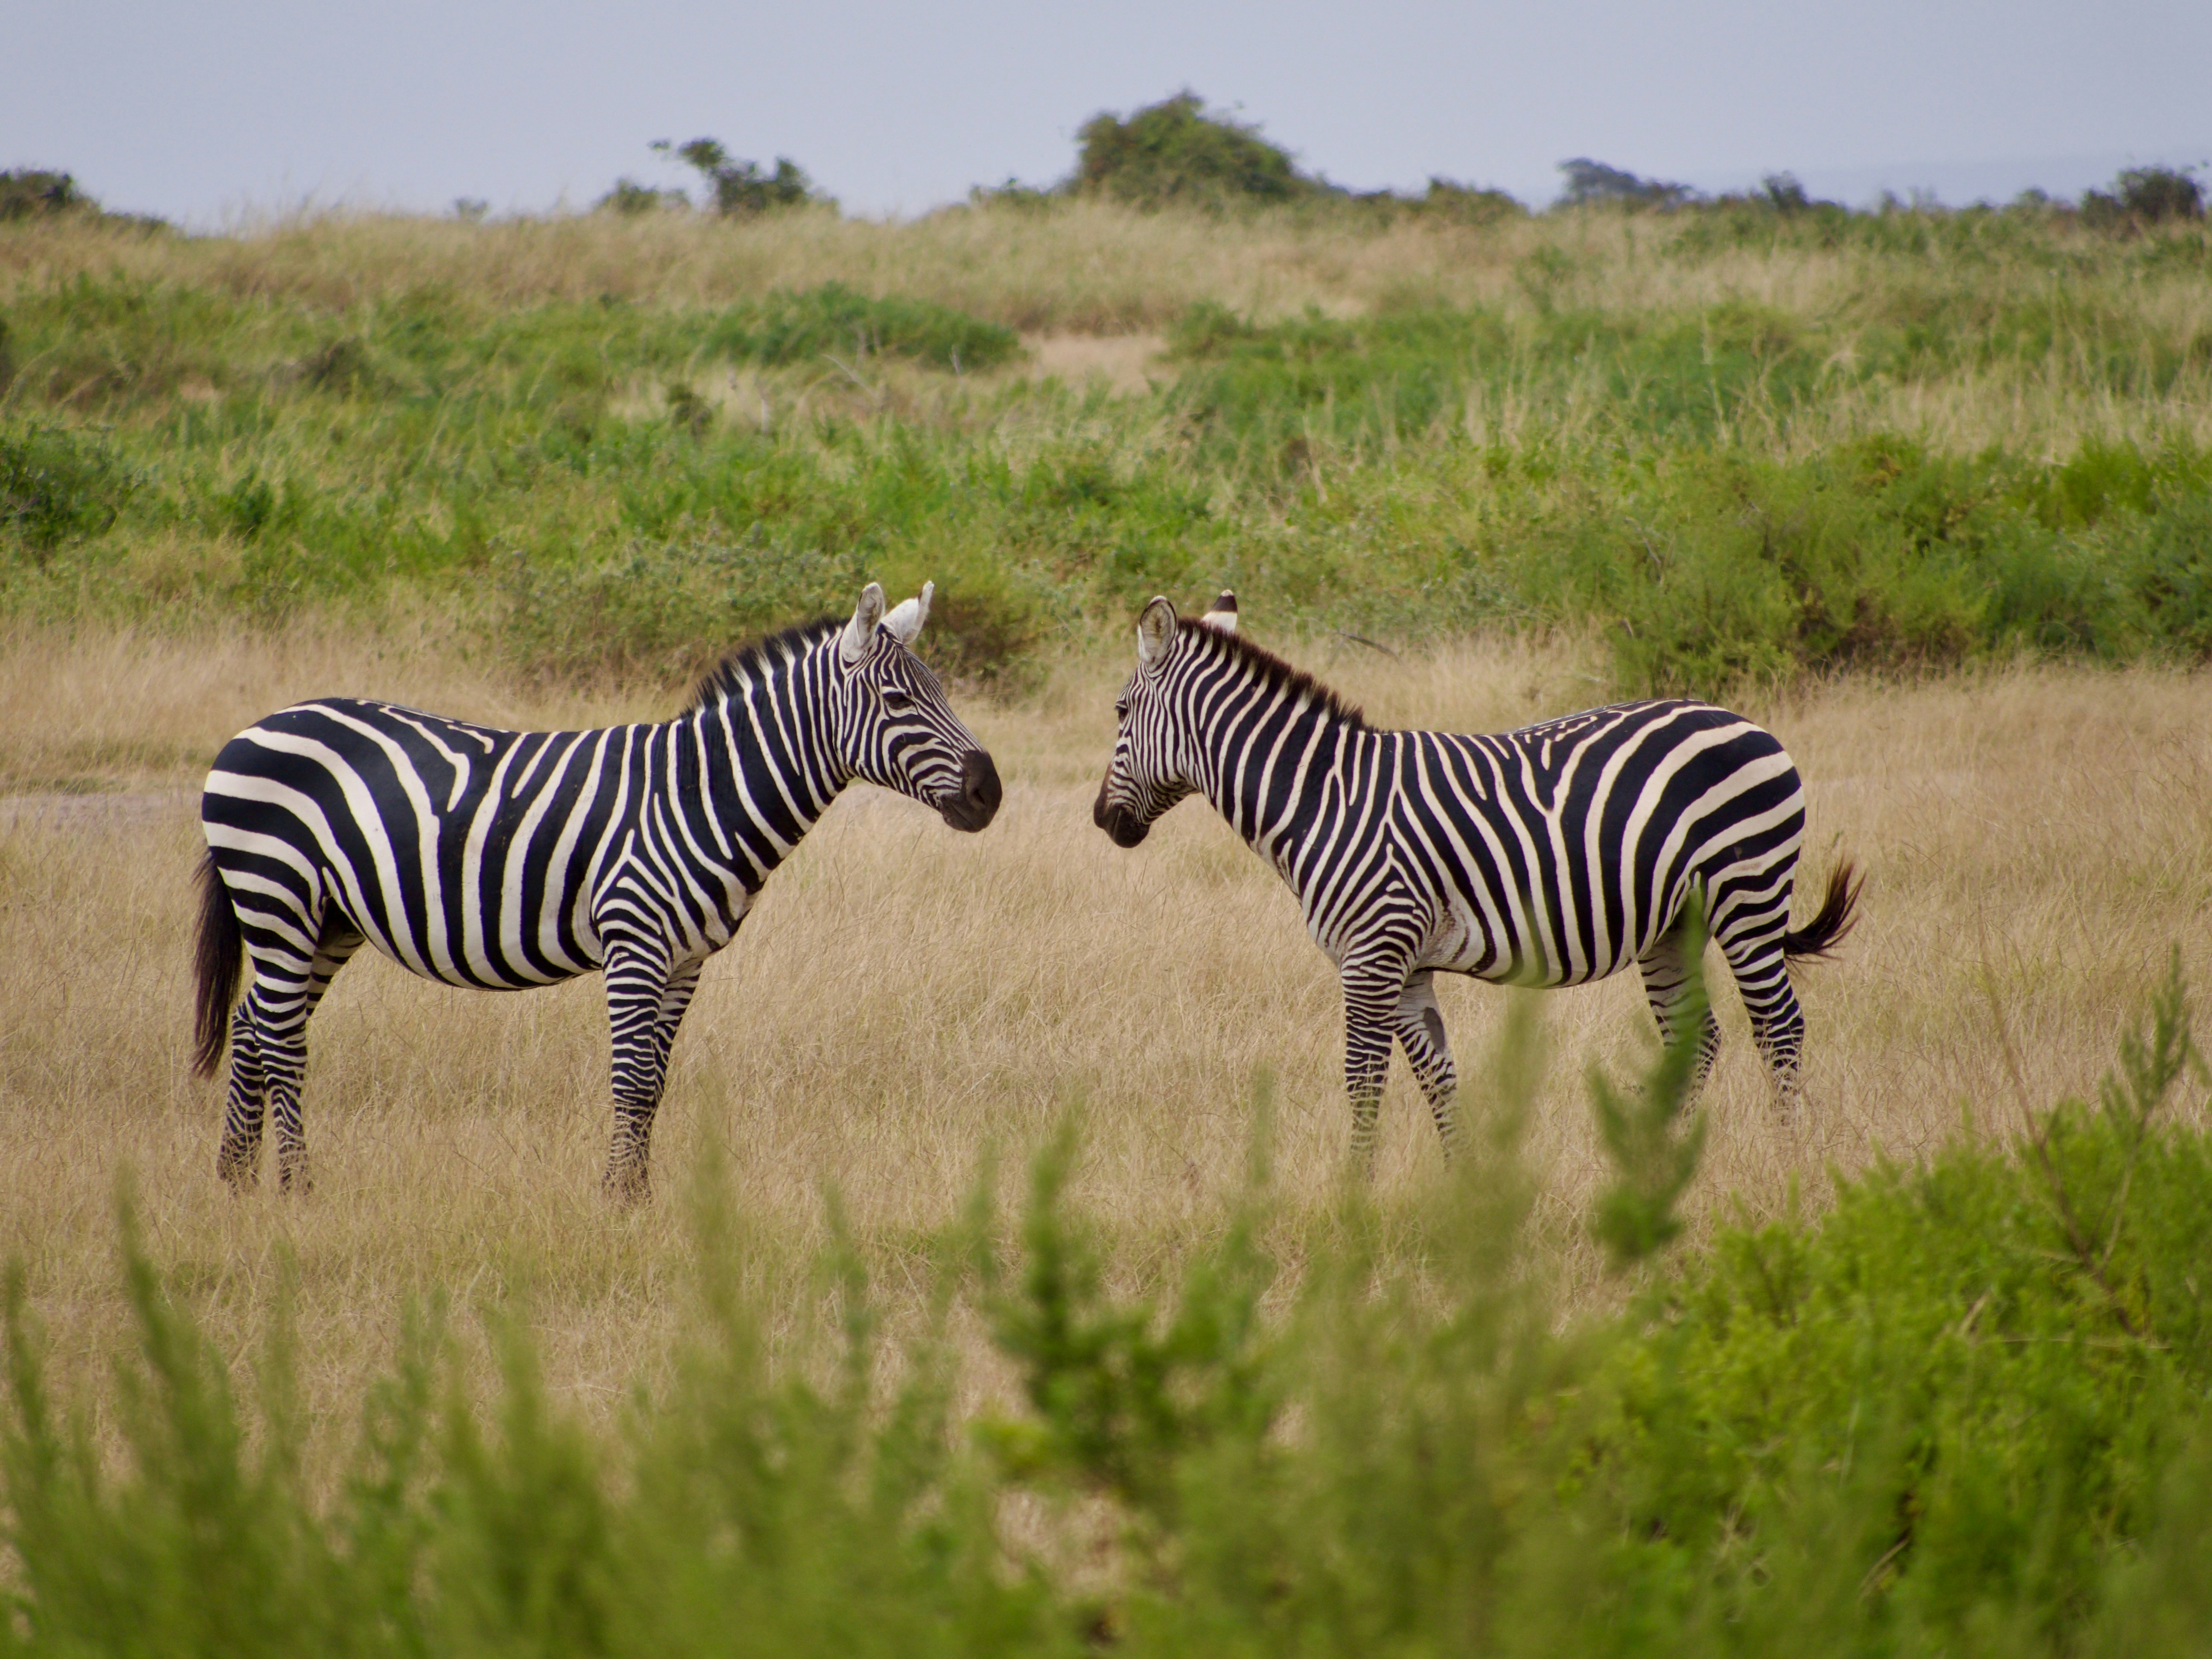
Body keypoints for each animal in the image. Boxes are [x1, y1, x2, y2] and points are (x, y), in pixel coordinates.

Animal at [192, 582, 1001, 1200]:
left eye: (940, 692)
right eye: (897, 700)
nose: (988, 792)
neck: (699, 792)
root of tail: (255, 726)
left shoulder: (685, 959)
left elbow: (657, 1082)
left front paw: (636, 1193)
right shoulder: (634, 941)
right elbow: (632, 1077)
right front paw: (619, 1200)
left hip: (329, 919)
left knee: (256, 1026)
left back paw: (235, 1182)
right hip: (277, 894)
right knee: (280, 1038)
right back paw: (296, 1186)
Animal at [1092, 592, 1860, 1162]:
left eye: (1121, 711)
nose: (1102, 819)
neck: (1322, 797)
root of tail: (1749, 723)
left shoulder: (1370, 957)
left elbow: (1362, 1080)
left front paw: (1354, 1195)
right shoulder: (1404, 966)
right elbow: (1437, 1076)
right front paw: (1461, 1185)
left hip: (1746, 891)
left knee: (1779, 1027)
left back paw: (1787, 1156)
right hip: (1674, 922)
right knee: (1694, 1040)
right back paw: (1650, 1160)